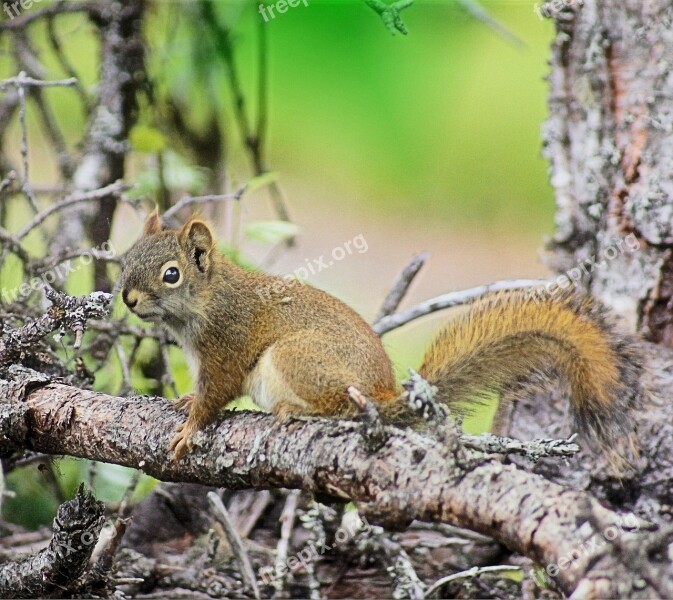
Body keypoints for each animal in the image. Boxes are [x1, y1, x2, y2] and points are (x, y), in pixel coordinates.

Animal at [119, 211, 640, 468]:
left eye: (171, 274)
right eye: (126, 257)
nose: (126, 297)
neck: (205, 302)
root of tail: (385, 396)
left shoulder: (226, 345)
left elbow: (218, 393)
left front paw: (189, 429)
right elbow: (201, 392)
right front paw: (185, 402)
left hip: (296, 356)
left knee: (343, 407)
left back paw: (295, 410)